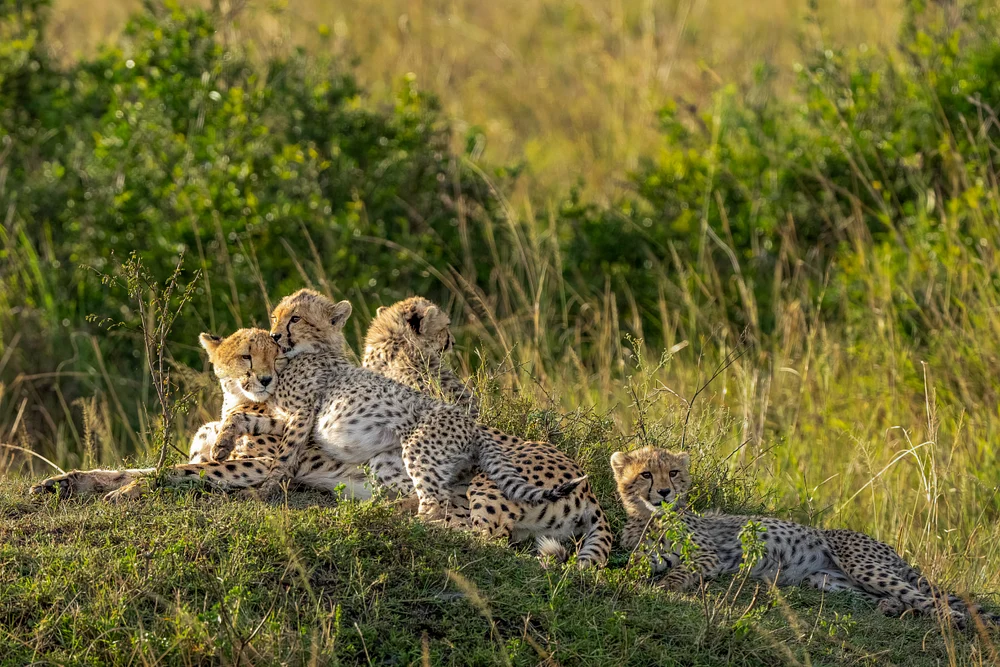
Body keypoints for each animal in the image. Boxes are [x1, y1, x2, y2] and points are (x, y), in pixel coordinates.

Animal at [224, 288, 579, 520]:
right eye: (275, 317)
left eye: (295, 319)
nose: (274, 335)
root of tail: (472, 425)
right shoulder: (290, 417)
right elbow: (244, 419)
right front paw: (222, 444)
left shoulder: (302, 414)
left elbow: (283, 457)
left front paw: (264, 490)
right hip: (387, 460)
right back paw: (384, 509)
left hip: (420, 449)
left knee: (437, 503)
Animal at [361, 296, 612, 567]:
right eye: (445, 327)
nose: (453, 341)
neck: (396, 345)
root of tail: (589, 491)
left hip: (488, 482)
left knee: (480, 536)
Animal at [613, 446, 999, 629]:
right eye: (646, 474)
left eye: (674, 473)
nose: (664, 492)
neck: (649, 517)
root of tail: (891, 550)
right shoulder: (653, 549)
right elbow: (641, 559)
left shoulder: (709, 555)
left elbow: (680, 570)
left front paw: (666, 587)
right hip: (827, 580)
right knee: (900, 596)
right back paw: (891, 607)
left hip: (863, 566)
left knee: (923, 596)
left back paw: (953, 619)